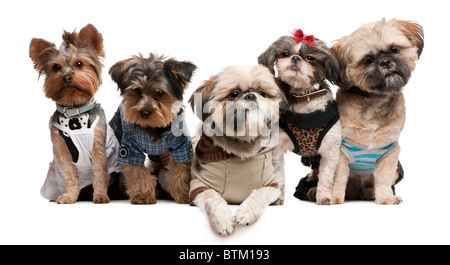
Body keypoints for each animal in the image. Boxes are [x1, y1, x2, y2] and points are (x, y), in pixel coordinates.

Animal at [29, 23, 122, 203]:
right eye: (56, 67)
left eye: (79, 64)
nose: (66, 77)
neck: (74, 113)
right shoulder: (60, 148)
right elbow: (69, 175)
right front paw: (69, 196)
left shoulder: (98, 146)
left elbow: (100, 173)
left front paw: (100, 196)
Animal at [109, 53, 197, 204]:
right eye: (137, 91)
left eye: (160, 93)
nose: (144, 112)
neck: (155, 127)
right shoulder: (130, 148)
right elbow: (137, 171)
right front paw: (143, 195)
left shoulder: (181, 145)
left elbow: (180, 169)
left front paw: (184, 194)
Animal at [189, 65, 284, 234]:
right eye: (234, 94)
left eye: (262, 93)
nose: (251, 96)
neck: (242, 146)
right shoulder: (198, 186)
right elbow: (213, 197)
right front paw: (223, 220)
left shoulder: (271, 186)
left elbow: (260, 193)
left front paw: (246, 212)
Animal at [256, 28, 342, 204]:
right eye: (285, 53)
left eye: (310, 58)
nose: (295, 58)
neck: (304, 100)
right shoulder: (277, 149)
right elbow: (278, 177)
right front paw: (277, 198)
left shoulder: (330, 149)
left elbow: (326, 177)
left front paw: (323, 196)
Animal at [328, 18, 424, 203]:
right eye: (368, 59)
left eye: (394, 49)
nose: (386, 62)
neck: (374, 99)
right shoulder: (340, 151)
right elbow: (337, 177)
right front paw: (334, 197)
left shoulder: (390, 152)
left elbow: (384, 178)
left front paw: (386, 197)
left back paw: (370, 192)